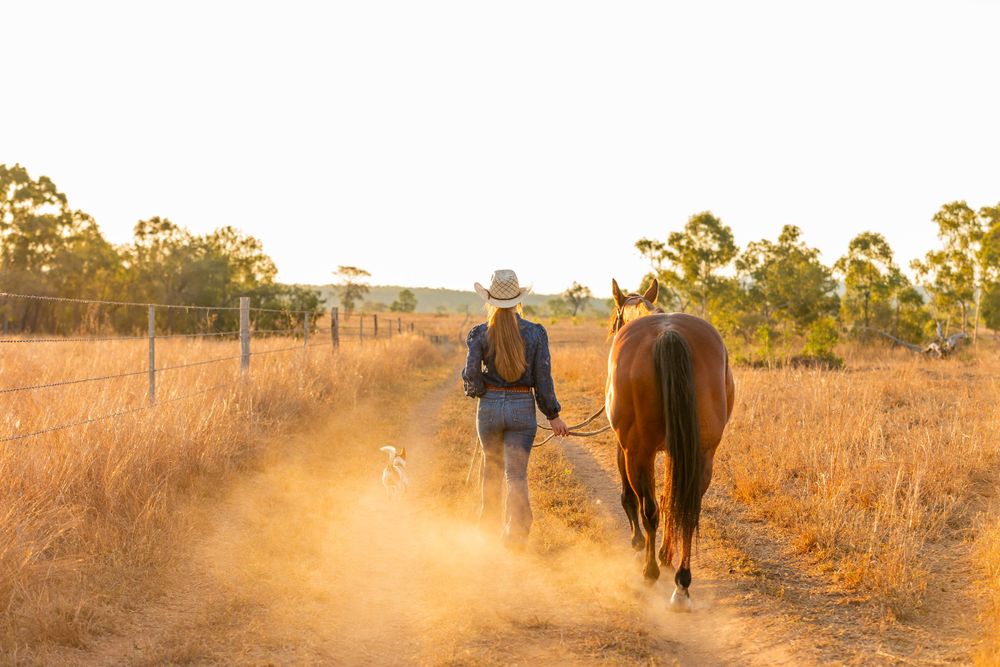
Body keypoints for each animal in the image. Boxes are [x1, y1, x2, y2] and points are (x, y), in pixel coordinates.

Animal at [605, 278, 735, 609]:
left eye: (613, 322)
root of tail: (669, 334)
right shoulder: (678, 451)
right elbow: (670, 499)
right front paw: (666, 554)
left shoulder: (625, 448)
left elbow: (631, 498)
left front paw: (639, 543)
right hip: (702, 454)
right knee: (687, 510)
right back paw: (682, 583)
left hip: (638, 452)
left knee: (648, 508)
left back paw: (650, 571)